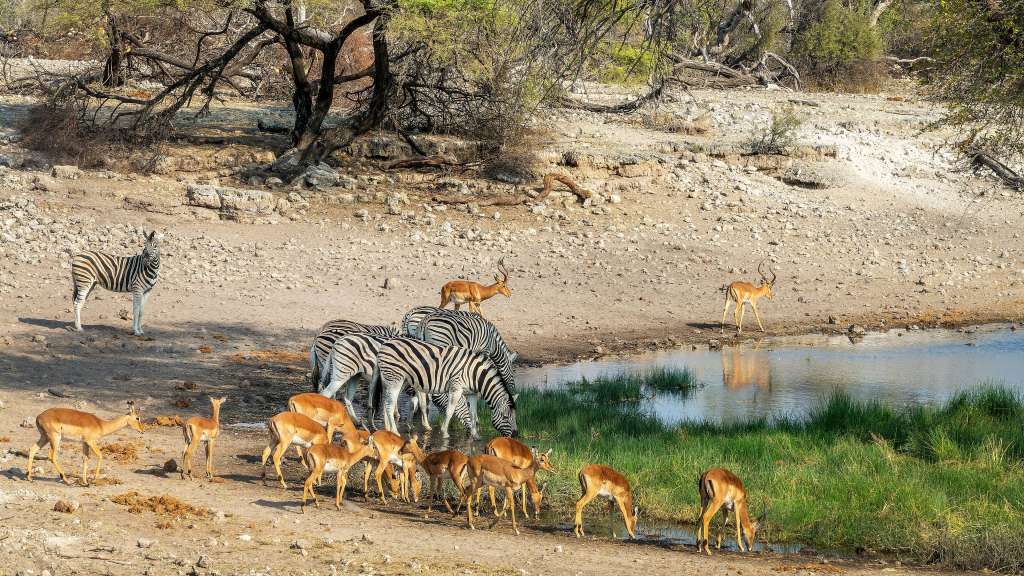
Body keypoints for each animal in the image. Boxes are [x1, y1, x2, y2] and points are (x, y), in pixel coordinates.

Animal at [374, 337, 518, 439]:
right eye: (505, 417)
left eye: (515, 416)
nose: (516, 435)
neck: (475, 375)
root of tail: (385, 344)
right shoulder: (456, 387)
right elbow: (449, 411)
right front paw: (444, 433)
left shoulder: (471, 393)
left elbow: (473, 413)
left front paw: (476, 436)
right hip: (394, 378)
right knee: (389, 405)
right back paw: (395, 432)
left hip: (398, 380)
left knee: (387, 402)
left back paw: (387, 429)